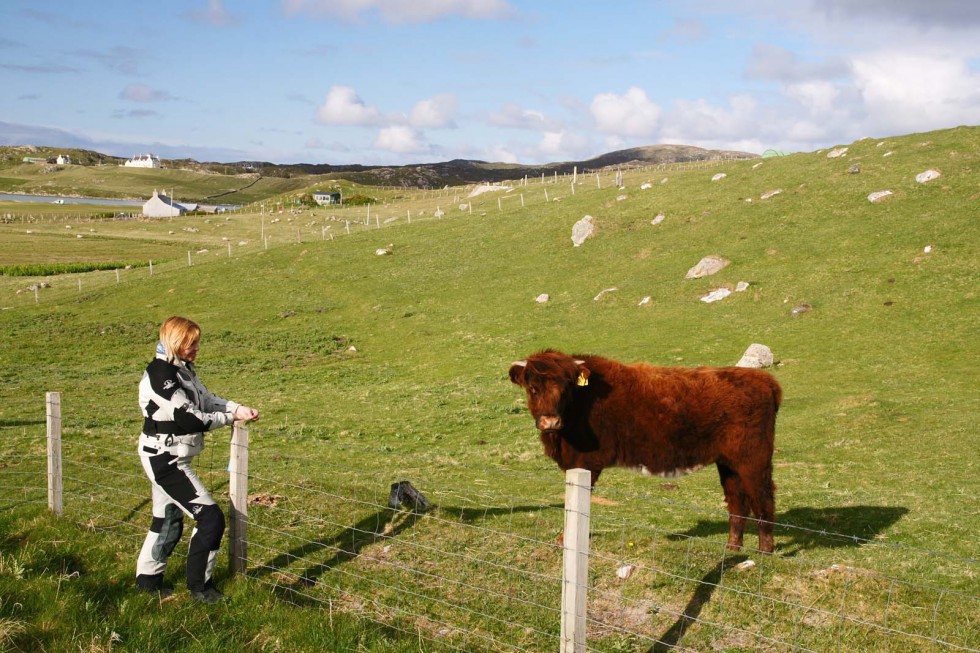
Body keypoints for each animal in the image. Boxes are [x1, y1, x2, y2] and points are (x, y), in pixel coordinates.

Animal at [512, 348, 780, 552]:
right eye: (533, 387)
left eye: (566, 388)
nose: (550, 421)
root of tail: (764, 380)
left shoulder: (585, 462)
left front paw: (564, 540)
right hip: (728, 464)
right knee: (737, 502)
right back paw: (732, 547)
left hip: (754, 459)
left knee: (763, 497)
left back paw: (764, 551)